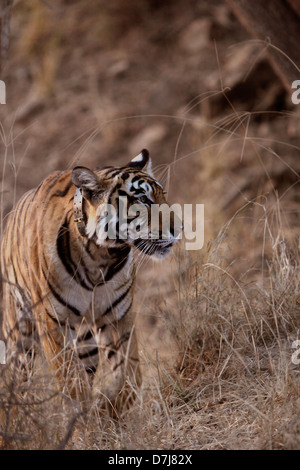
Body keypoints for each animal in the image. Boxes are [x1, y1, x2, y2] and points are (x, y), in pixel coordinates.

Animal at [0, 149, 178, 414]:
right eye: (143, 199)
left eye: (162, 195)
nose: (180, 229)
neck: (100, 256)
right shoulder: (52, 322)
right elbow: (72, 384)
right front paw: (85, 418)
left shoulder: (117, 316)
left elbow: (130, 375)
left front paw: (109, 408)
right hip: (20, 336)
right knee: (15, 378)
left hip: (86, 341)